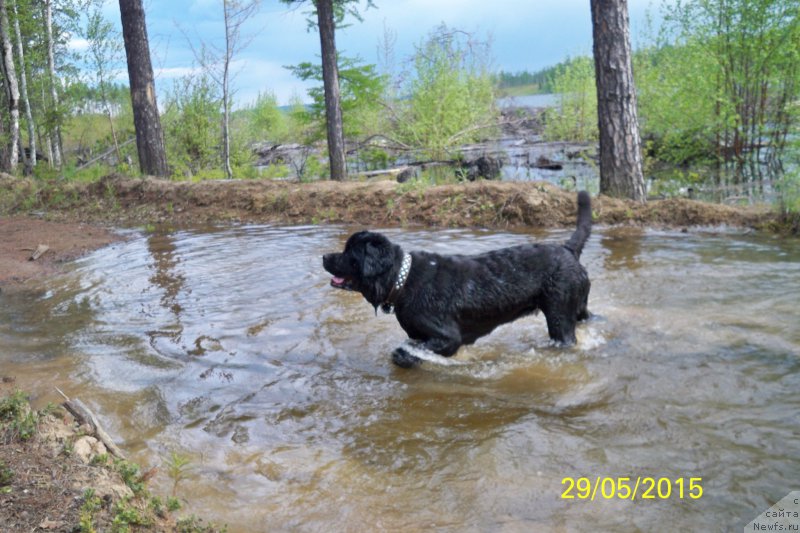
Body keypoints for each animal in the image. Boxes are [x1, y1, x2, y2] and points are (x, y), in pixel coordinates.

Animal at [322, 189, 592, 368]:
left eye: (349, 253)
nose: (324, 256)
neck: (402, 279)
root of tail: (568, 249)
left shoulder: (448, 337)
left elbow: (407, 352)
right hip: (577, 308)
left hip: (559, 317)